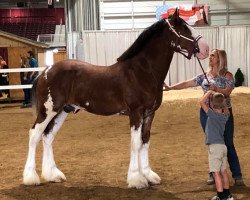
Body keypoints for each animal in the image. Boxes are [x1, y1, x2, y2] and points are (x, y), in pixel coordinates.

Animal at [22, 9, 209, 190]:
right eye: (183, 29)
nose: (205, 49)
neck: (142, 72)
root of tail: (46, 71)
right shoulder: (136, 113)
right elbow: (135, 143)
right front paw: (136, 180)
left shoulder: (149, 113)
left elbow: (145, 141)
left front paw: (149, 176)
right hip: (47, 111)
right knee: (34, 135)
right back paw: (31, 178)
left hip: (62, 111)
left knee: (48, 136)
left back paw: (52, 175)